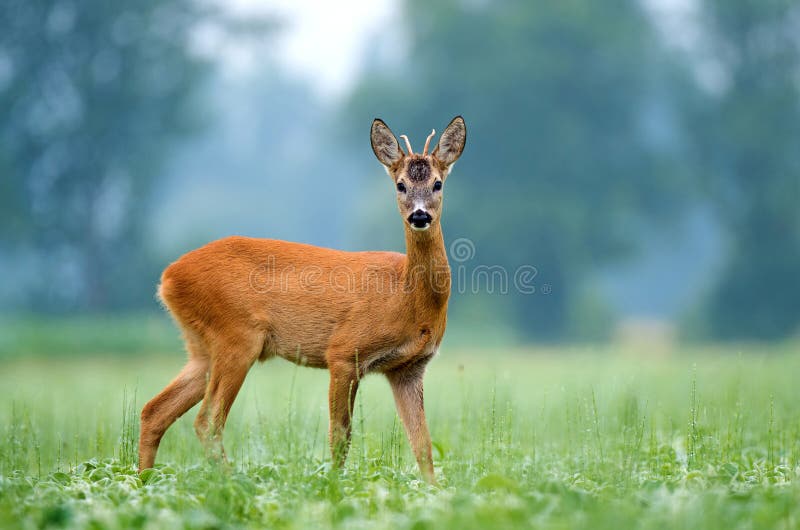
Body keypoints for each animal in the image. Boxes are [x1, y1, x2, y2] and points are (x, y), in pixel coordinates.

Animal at [140, 117, 466, 480]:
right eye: (400, 185)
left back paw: (142, 481)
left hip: (201, 347)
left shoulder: (408, 368)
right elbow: (340, 436)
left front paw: (433, 491)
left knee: (154, 410)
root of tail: (168, 277)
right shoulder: (343, 352)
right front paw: (335, 486)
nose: (419, 216)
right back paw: (233, 482)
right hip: (236, 337)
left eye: (437, 183)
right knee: (207, 421)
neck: (407, 297)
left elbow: (422, 445)